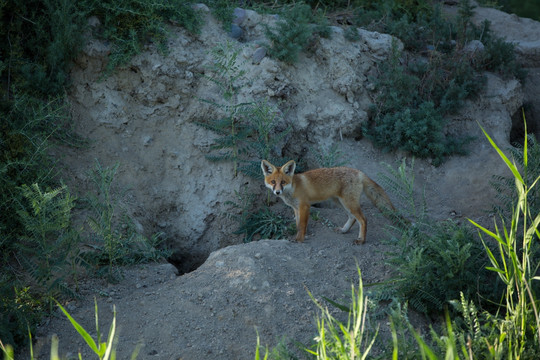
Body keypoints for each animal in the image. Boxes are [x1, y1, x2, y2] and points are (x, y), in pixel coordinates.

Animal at [260, 160, 398, 245]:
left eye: (283, 182)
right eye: (273, 182)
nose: (277, 192)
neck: (293, 188)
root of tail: (359, 172)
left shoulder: (304, 206)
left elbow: (302, 225)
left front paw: (299, 239)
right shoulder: (296, 208)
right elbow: (298, 225)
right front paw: (300, 236)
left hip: (348, 202)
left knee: (363, 219)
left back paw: (361, 240)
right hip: (340, 202)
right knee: (353, 217)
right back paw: (344, 230)